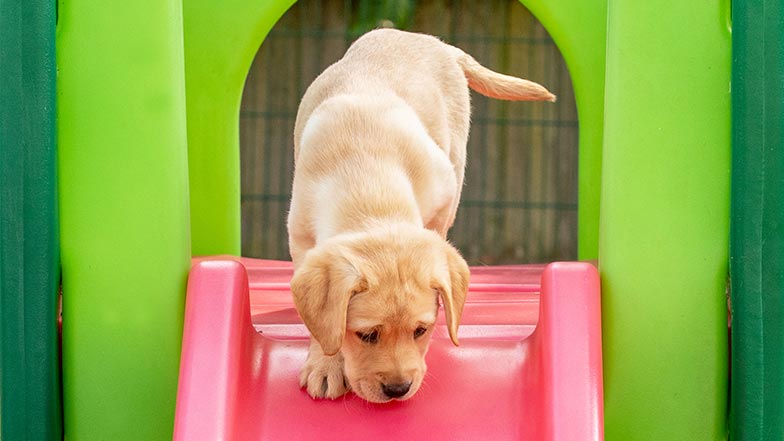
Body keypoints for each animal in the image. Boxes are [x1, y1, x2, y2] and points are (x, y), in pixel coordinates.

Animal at [290, 27, 556, 400]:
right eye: (367, 335)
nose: (398, 389)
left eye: (421, 330)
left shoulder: (444, 193)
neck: (370, 185)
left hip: (456, 152)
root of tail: (432, 41)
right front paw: (326, 363)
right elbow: (321, 324)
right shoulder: (300, 237)